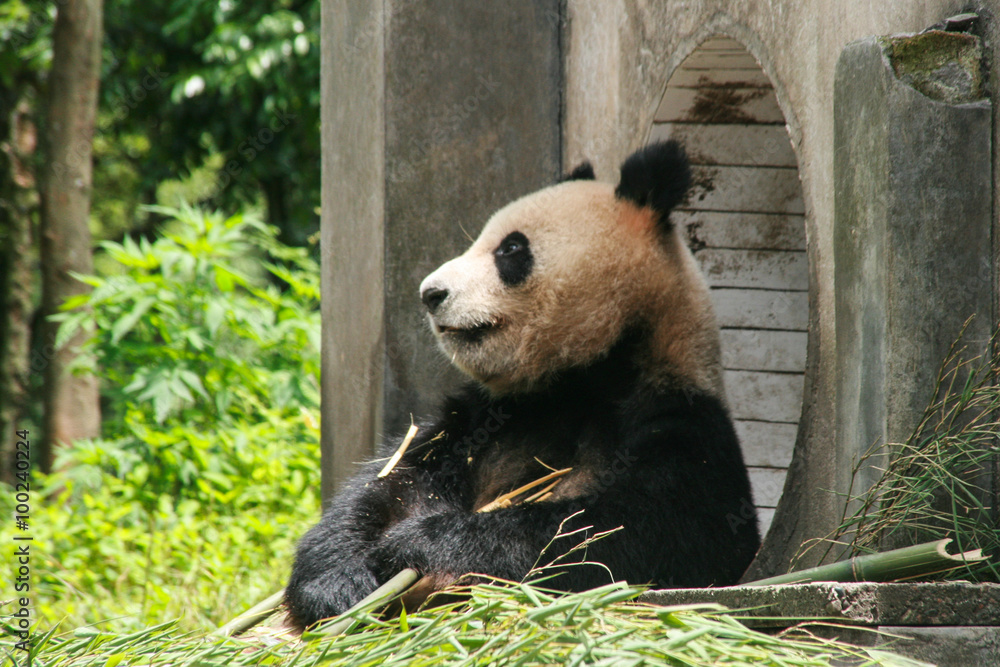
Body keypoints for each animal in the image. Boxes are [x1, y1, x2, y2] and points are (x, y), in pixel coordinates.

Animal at [285, 140, 760, 629]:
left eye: (511, 248)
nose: (430, 293)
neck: (586, 377)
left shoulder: (678, 419)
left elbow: (629, 533)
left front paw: (422, 543)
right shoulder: (486, 419)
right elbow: (391, 481)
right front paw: (337, 582)